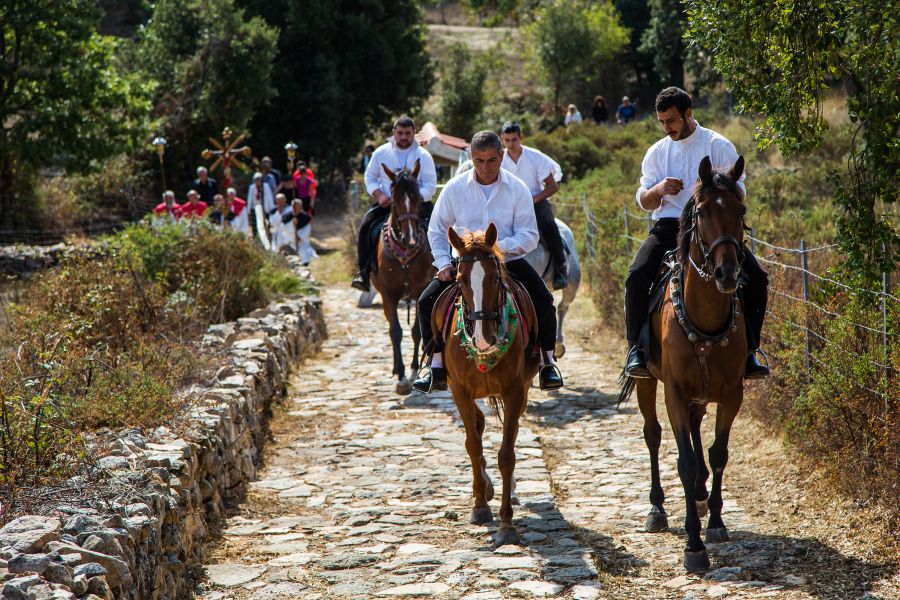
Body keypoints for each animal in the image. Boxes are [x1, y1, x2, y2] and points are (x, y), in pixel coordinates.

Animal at [370, 159, 432, 394]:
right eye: (394, 199)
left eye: (417, 197)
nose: (411, 238)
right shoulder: (388, 295)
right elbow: (395, 331)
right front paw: (401, 376)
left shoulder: (421, 291)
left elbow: (416, 331)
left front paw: (414, 369)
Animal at [440, 223, 536, 548]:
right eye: (459, 279)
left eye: (495, 277)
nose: (483, 338)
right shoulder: (458, 390)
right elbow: (472, 445)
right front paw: (480, 505)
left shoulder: (515, 391)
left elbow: (506, 455)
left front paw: (506, 524)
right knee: (479, 426)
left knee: (511, 430)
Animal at [624, 155, 748, 572]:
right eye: (702, 211)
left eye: (740, 210)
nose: (728, 273)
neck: (705, 320)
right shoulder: (675, 394)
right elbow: (685, 461)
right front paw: (694, 546)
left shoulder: (732, 395)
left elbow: (717, 453)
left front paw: (716, 521)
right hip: (648, 383)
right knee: (652, 434)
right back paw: (657, 508)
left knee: (697, 429)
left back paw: (699, 495)